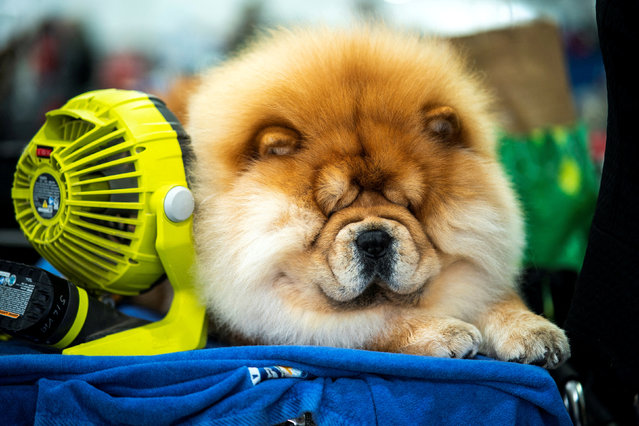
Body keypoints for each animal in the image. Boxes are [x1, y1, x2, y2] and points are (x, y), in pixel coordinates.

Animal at [185, 25, 568, 370]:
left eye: (408, 205)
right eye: (330, 209)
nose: (373, 240)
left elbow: (497, 298)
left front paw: (533, 331)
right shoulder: (277, 319)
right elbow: (376, 323)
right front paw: (446, 332)